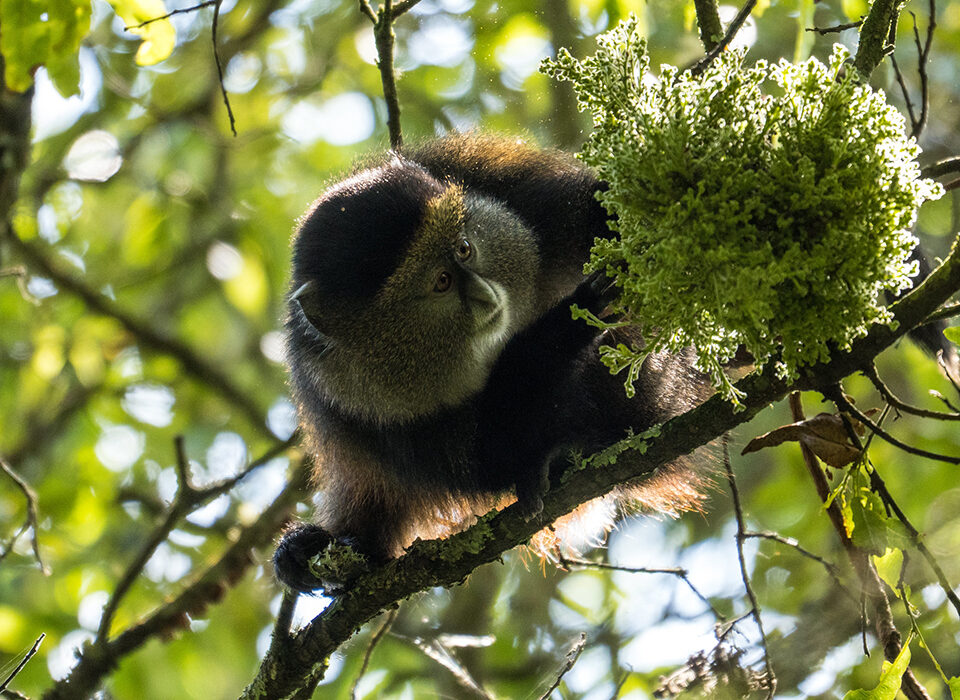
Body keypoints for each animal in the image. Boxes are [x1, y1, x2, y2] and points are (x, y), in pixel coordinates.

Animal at [272, 134, 714, 593]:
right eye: (441, 282)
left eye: (464, 249)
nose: (486, 294)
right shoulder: (346, 393)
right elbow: (485, 455)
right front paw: (572, 317)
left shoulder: (518, 190)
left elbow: (607, 207)